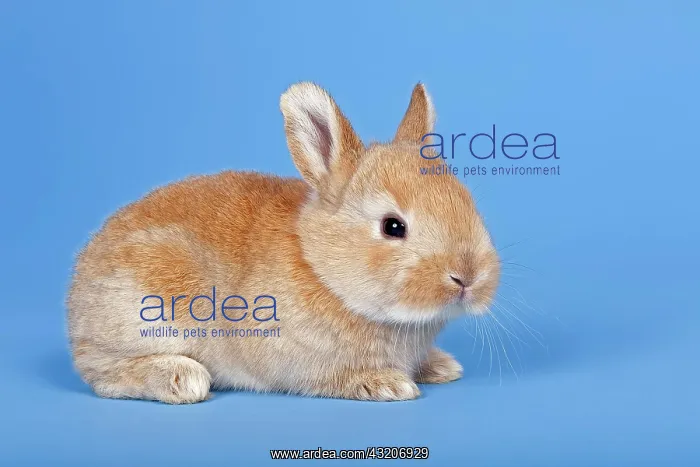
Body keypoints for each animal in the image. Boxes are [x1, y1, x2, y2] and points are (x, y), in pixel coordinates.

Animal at [66, 82, 500, 404]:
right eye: (393, 226)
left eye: (467, 202)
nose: (468, 277)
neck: (322, 271)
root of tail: (76, 304)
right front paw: (387, 384)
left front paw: (440, 367)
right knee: (102, 374)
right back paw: (182, 378)